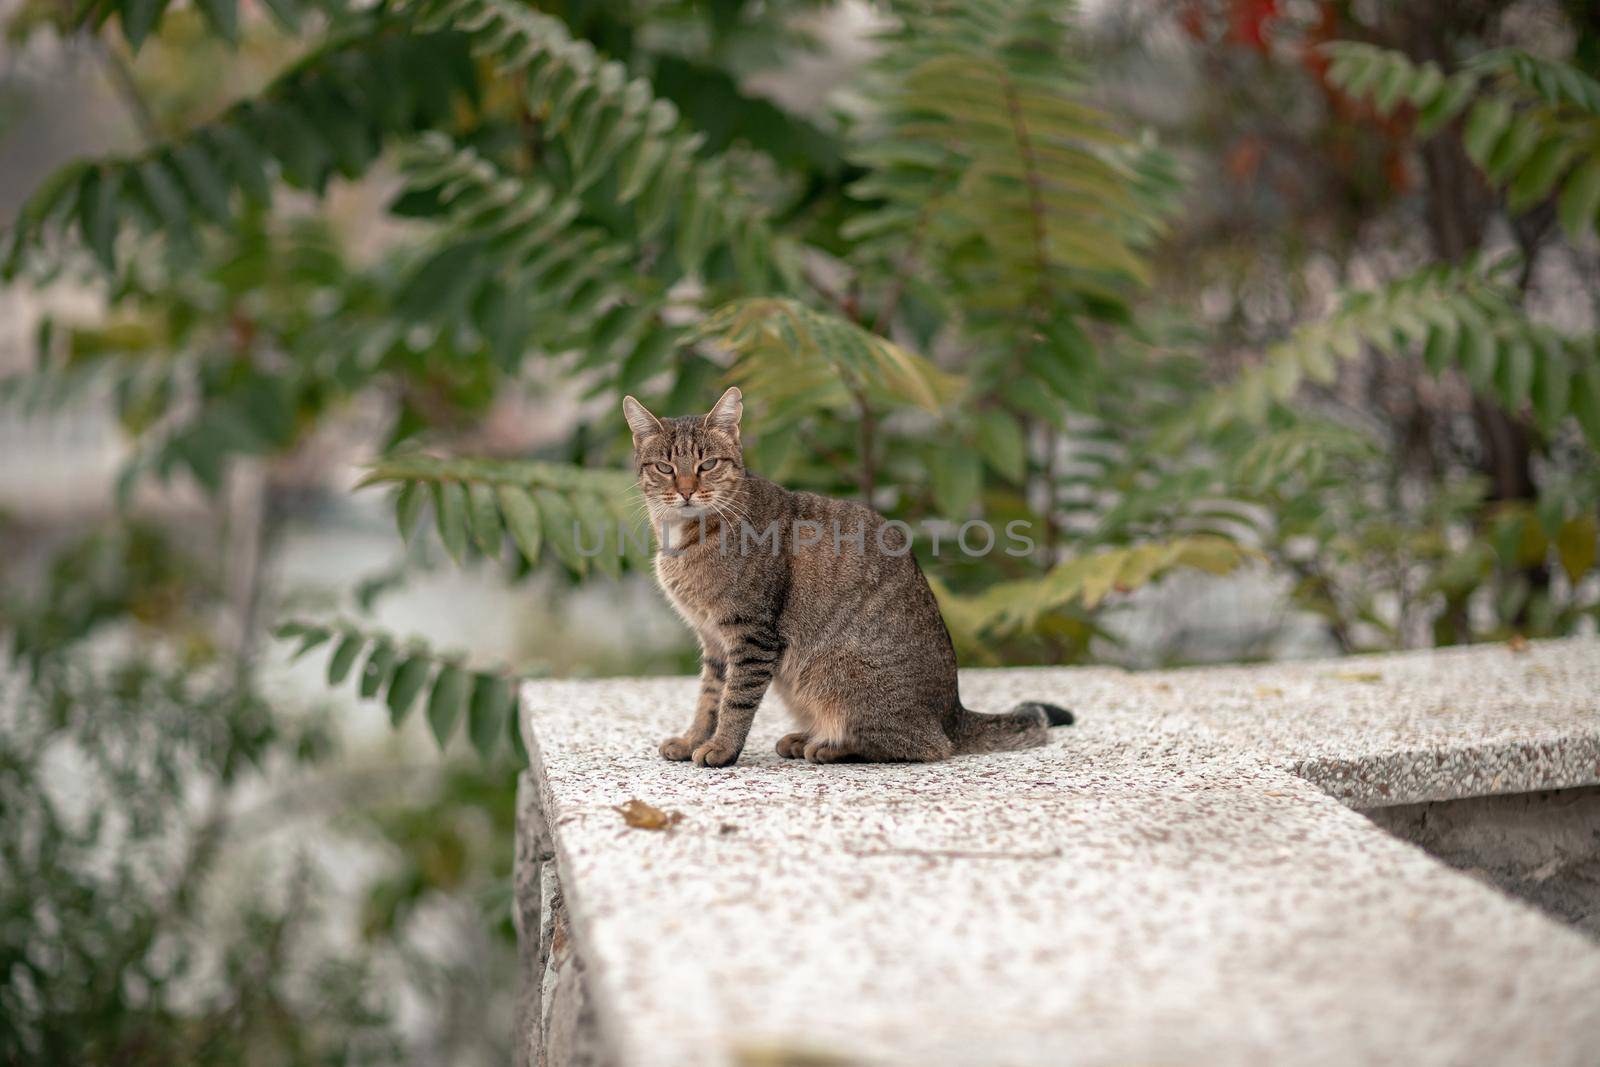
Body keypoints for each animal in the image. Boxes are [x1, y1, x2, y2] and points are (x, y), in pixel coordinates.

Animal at [624, 385, 1075, 767]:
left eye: (708, 464)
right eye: (665, 467)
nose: (685, 490)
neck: (685, 536)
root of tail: (953, 713)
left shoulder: (751, 634)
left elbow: (735, 701)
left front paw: (720, 748)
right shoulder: (714, 640)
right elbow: (708, 699)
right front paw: (692, 740)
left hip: (837, 674)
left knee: (924, 746)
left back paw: (827, 746)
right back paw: (804, 737)